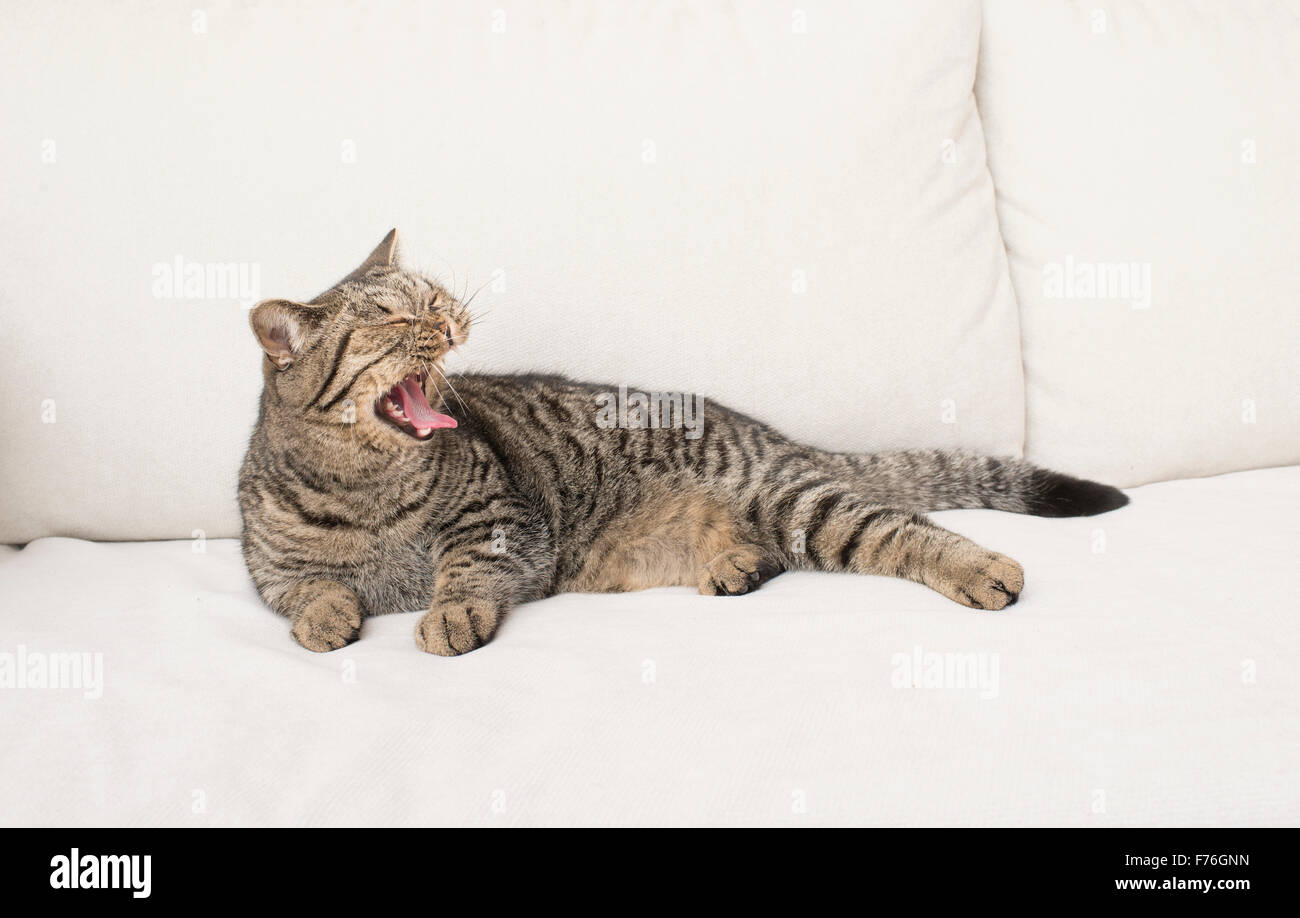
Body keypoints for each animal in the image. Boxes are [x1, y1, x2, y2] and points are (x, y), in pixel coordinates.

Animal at [241, 232, 1128, 655]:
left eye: (431, 295)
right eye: (395, 317)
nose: (452, 315)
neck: (363, 493)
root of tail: (774, 433)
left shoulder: (500, 523)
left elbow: (464, 574)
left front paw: (448, 614)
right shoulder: (271, 569)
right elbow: (305, 592)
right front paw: (326, 619)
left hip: (798, 502)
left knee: (905, 529)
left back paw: (983, 569)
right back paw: (734, 567)